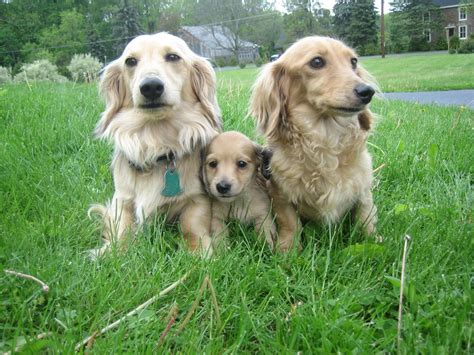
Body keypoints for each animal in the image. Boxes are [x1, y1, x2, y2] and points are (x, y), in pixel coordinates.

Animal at [89, 33, 222, 258]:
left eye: (173, 57)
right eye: (130, 61)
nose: (150, 86)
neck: (156, 141)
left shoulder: (198, 199)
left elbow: (192, 228)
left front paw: (199, 254)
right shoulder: (121, 200)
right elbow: (121, 232)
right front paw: (111, 253)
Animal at [248, 36, 378, 252]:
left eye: (353, 61)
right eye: (317, 62)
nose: (367, 91)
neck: (325, 139)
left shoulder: (363, 189)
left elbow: (365, 217)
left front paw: (373, 239)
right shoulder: (280, 193)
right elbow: (290, 222)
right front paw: (288, 249)